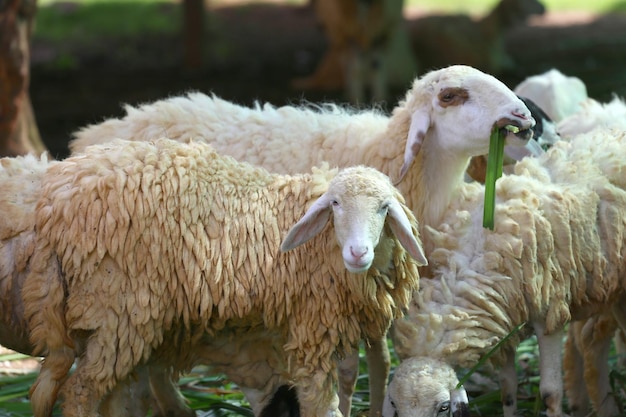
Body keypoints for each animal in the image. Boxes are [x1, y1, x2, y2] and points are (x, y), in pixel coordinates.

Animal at [22, 138, 426, 416]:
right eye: (336, 205)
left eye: (384, 208)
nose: (358, 253)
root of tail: (53, 205)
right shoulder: (312, 330)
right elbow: (320, 403)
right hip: (119, 309)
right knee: (82, 389)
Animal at [69, 64, 536, 416]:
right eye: (452, 96)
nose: (524, 117)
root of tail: (94, 132)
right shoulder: (330, 289)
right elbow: (346, 372)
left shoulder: (375, 289)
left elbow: (381, 361)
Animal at [382, 126, 624, 416]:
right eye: (394, 405)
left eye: (443, 407)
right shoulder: (503, 318)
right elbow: (507, 390)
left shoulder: (548, 314)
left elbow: (551, 393)